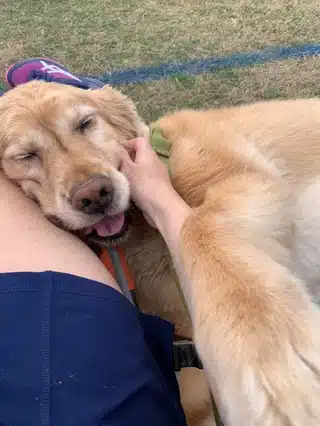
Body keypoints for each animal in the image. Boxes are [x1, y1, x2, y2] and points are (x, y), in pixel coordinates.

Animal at [0, 80, 320, 426]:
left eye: (85, 123)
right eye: (26, 155)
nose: (95, 195)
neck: (140, 231)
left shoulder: (242, 176)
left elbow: (199, 226)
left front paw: (272, 355)